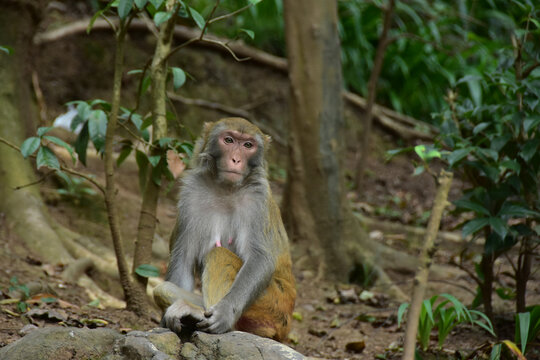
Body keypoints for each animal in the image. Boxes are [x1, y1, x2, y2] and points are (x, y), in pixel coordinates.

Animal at [153, 119, 296, 344]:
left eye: (248, 145)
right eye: (228, 140)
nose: (236, 159)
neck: (225, 188)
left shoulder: (257, 198)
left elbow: (260, 258)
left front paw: (225, 313)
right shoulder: (190, 196)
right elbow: (183, 261)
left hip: (273, 305)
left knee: (219, 254)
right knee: (162, 288)